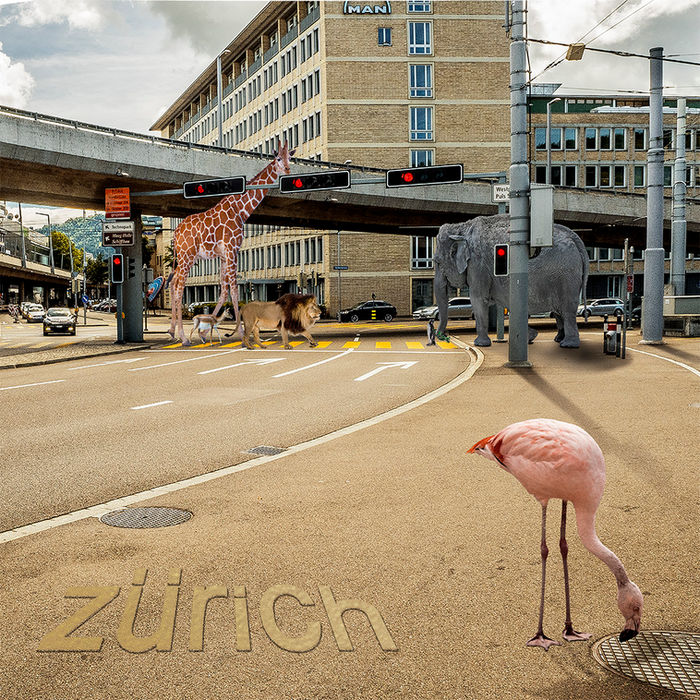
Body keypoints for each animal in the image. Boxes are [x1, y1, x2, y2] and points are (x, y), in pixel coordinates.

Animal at [168, 143, 294, 345]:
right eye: (278, 158)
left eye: (290, 157)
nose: (288, 170)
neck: (241, 210)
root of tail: (176, 232)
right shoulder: (232, 249)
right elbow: (234, 290)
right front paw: (241, 333)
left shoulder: (223, 254)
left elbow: (224, 291)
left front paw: (206, 330)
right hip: (187, 255)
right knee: (179, 286)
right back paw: (183, 337)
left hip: (185, 256)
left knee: (172, 280)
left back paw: (172, 331)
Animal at [433, 214, 588, 348]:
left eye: (438, 262)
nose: (442, 337)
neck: (461, 227)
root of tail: (575, 238)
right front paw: (530, 337)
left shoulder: (478, 266)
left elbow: (478, 299)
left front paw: (480, 344)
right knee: (559, 312)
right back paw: (558, 339)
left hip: (567, 275)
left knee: (567, 310)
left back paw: (568, 345)